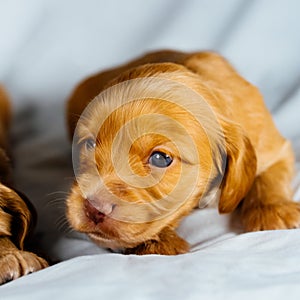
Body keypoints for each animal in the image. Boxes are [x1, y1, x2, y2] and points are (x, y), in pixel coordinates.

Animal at [66, 50, 300, 254]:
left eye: (160, 158)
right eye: (89, 144)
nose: (93, 208)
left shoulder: (272, 147)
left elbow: (269, 177)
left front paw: (273, 210)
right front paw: (158, 242)